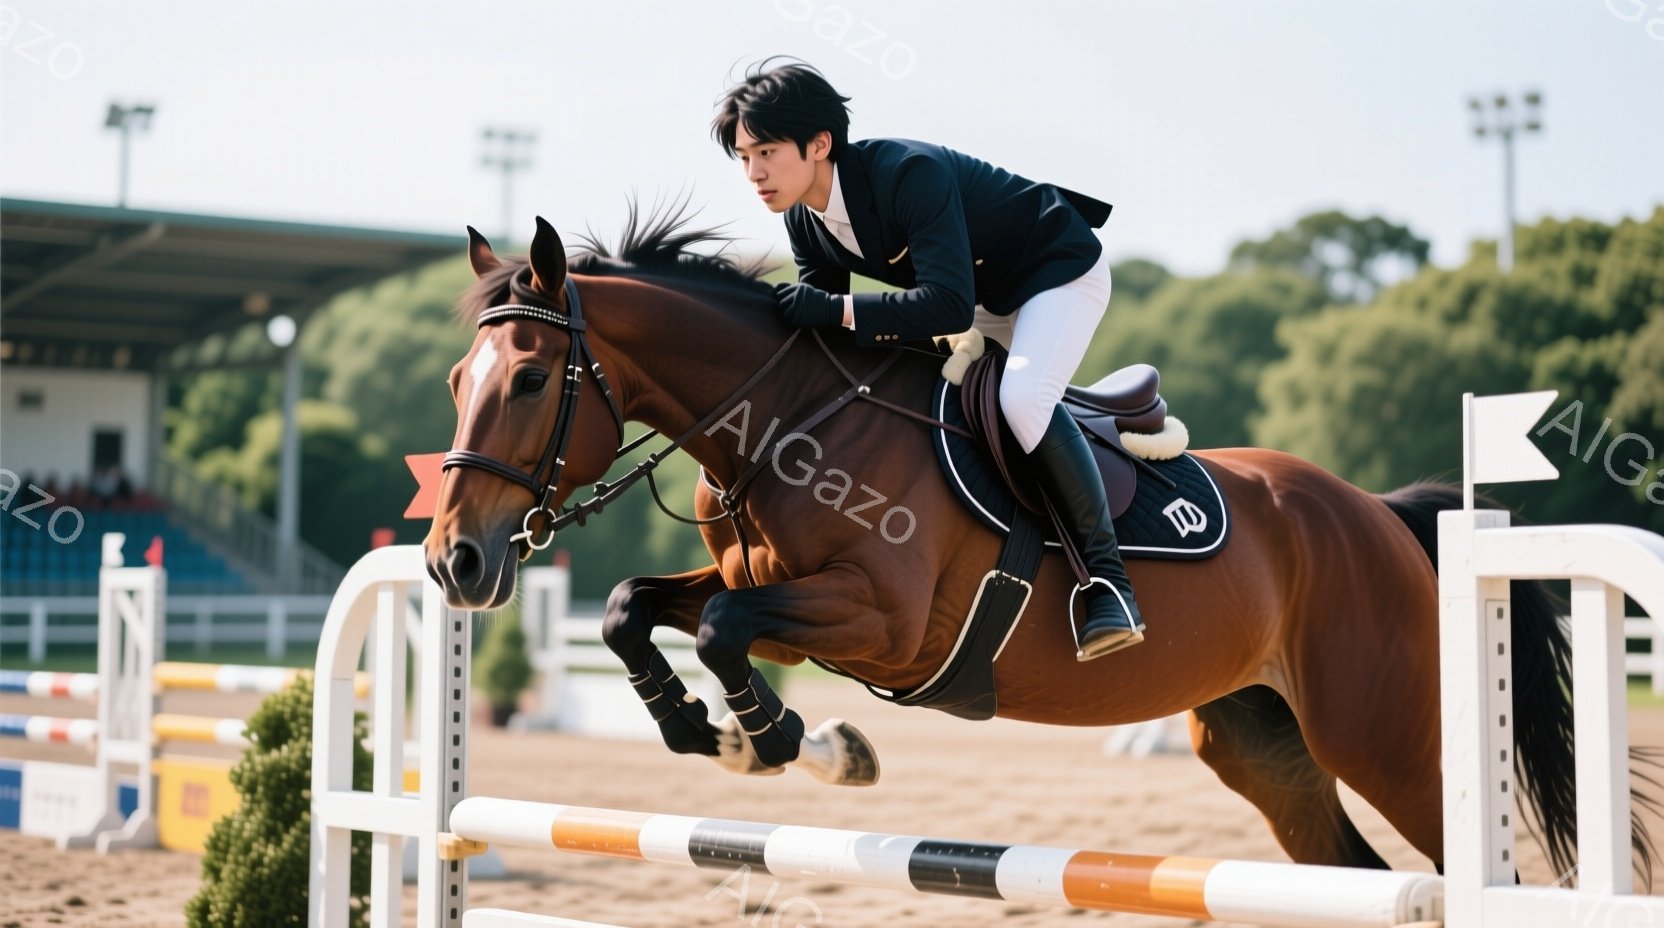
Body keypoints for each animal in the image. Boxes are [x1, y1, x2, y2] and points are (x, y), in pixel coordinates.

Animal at [423, 209, 1652, 881]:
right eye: (454, 379)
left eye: (528, 379)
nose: (453, 564)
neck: (788, 422)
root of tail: (1376, 512)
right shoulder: (774, 598)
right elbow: (637, 605)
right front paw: (710, 732)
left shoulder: (881, 622)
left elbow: (723, 628)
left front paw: (788, 740)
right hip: (1261, 740)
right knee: (1348, 873)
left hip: (1385, 735)